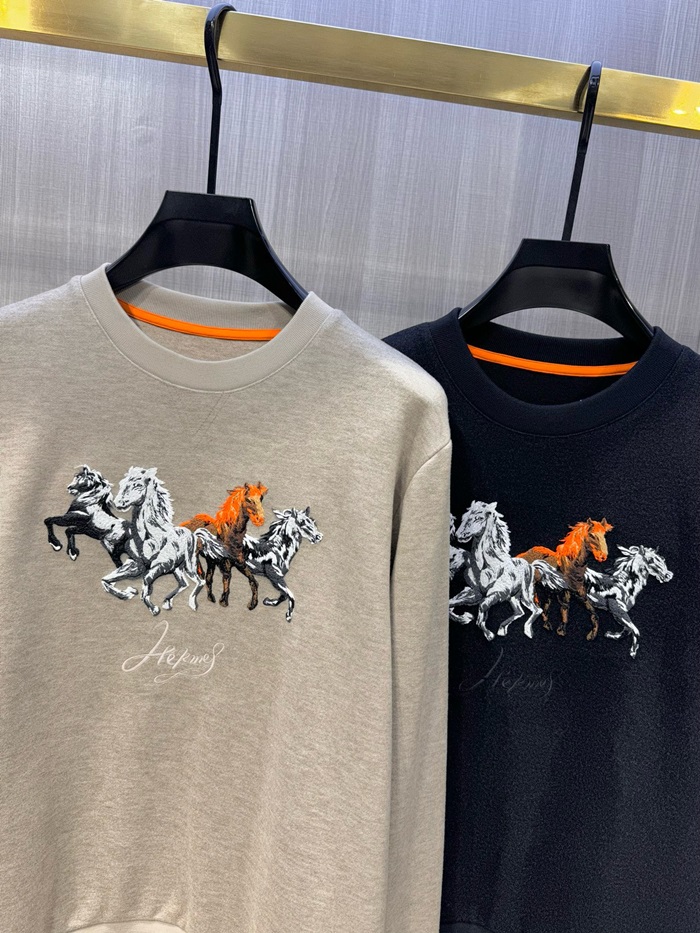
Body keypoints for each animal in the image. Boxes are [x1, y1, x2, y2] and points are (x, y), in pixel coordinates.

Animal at [100, 466, 228, 614]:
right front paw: (129, 592)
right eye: (122, 483)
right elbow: (106, 580)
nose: (119, 503)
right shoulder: (135, 564)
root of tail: (194, 535)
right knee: (184, 584)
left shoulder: (161, 566)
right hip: (177, 568)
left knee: (199, 582)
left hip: (189, 565)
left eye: (138, 485)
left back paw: (192, 605)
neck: (148, 538)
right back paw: (167, 602)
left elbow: (146, 583)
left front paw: (154, 609)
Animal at [451, 501, 566, 641]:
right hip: (513, 597)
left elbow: (482, 609)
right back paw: (502, 629)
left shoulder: (498, 594)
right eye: (464, 516)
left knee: (536, 610)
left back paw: (527, 631)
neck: (485, 567)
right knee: (520, 612)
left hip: (525, 595)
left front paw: (489, 635)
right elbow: (451, 603)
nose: (459, 535)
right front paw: (465, 618)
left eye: (479, 518)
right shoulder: (474, 592)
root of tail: (531, 565)